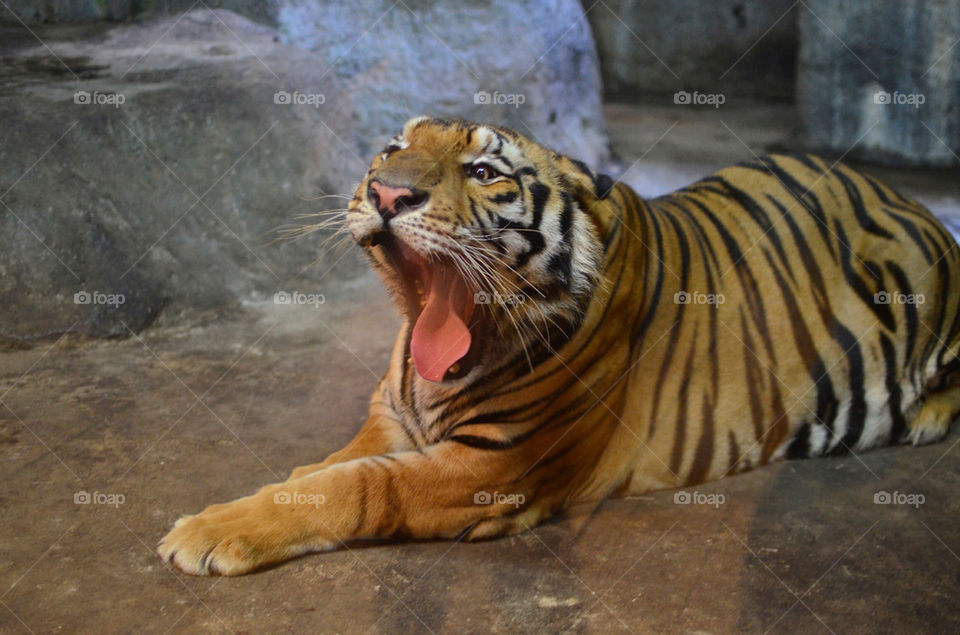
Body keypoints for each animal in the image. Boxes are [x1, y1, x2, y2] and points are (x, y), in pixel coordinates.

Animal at [159, 116, 960, 575]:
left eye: (484, 173)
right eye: (393, 149)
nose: (385, 192)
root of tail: (907, 199)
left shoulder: (491, 463)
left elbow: (358, 484)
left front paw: (204, 532)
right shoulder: (394, 417)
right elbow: (329, 464)